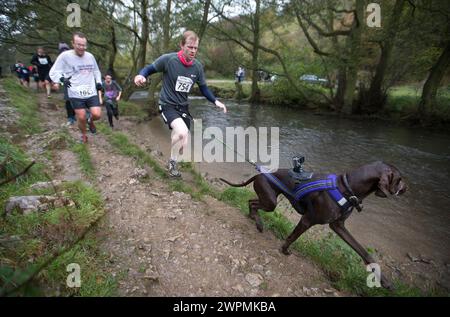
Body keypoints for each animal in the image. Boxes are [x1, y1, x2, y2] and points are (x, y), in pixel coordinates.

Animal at [221, 160, 408, 288]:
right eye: (399, 179)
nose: (407, 189)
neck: (347, 187)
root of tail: (259, 174)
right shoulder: (308, 220)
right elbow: (292, 236)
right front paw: (284, 249)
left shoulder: (338, 226)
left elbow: (364, 252)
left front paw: (385, 281)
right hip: (270, 201)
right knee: (253, 203)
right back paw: (257, 221)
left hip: (268, 200)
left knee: (251, 202)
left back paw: (255, 220)